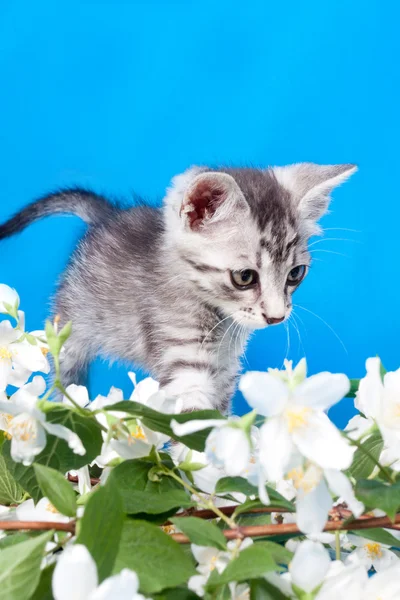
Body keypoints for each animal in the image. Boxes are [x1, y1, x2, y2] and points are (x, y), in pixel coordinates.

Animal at [0, 164, 356, 412]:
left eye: (296, 274)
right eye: (244, 277)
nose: (277, 317)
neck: (220, 321)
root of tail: (108, 216)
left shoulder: (224, 371)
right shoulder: (186, 365)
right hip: (71, 329)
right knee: (66, 377)